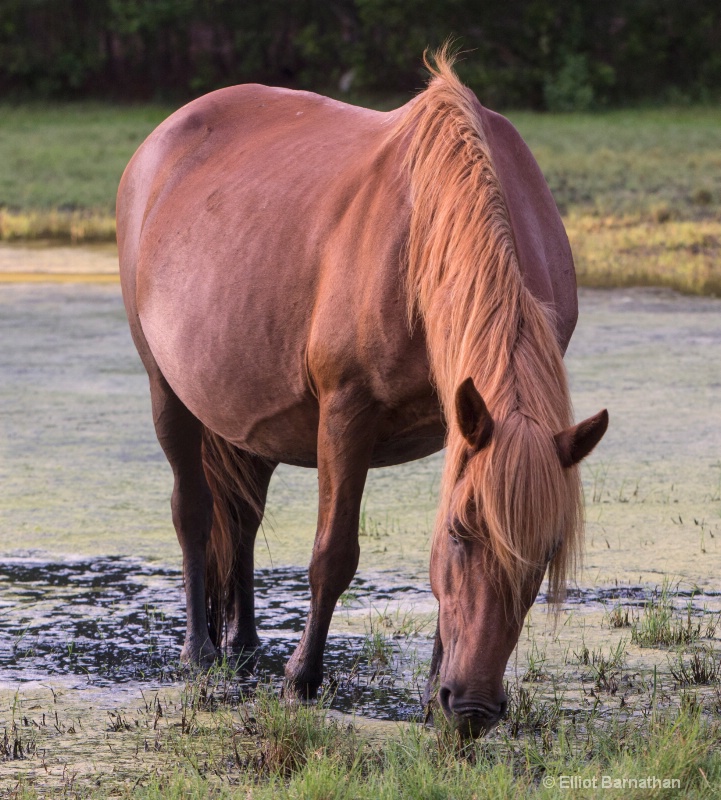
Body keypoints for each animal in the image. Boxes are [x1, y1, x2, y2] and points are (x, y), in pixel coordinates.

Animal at [116, 50, 608, 736]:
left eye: (545, 552)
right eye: (462, 533)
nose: (473, 709)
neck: (423, 237)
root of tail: (162, 140)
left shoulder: (460, 421)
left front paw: (430, 696)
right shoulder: (347, 411)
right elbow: (333, 554)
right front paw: (302, 679)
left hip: (249, 417)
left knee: (239, 516)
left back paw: (244, 643)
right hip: (167, 391)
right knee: (193, 511)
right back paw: (201, 652)